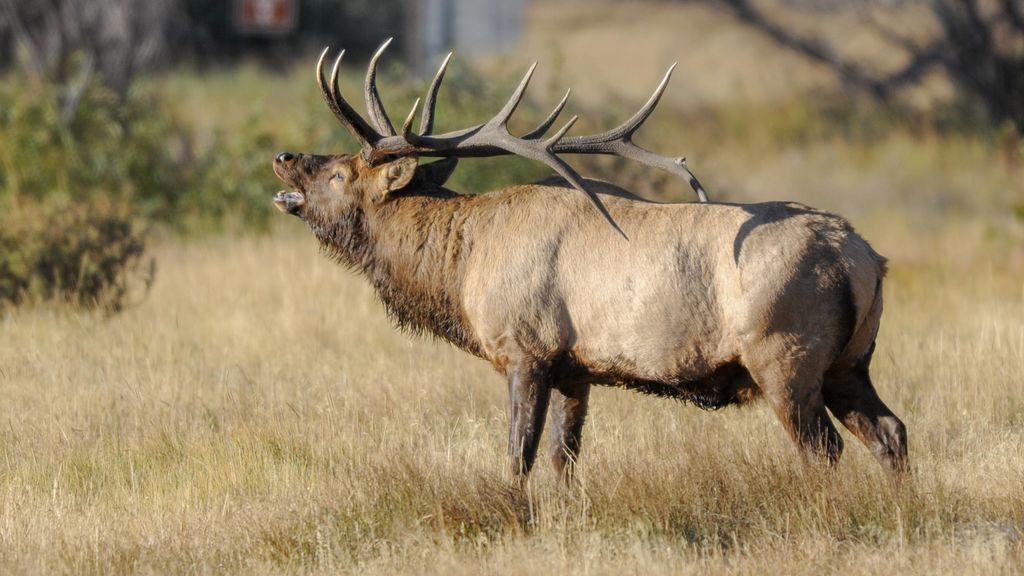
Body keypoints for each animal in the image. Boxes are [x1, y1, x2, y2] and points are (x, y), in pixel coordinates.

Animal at [270, 40, 905, 477]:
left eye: (339, 173)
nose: (284, 157)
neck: (461, 266)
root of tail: (864, 259)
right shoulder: (575, 370)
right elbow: (563, 459)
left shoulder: (525, 349)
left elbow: (518, 456)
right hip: (849, 362)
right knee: (891, 431)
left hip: (785, 357)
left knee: (824, 449)